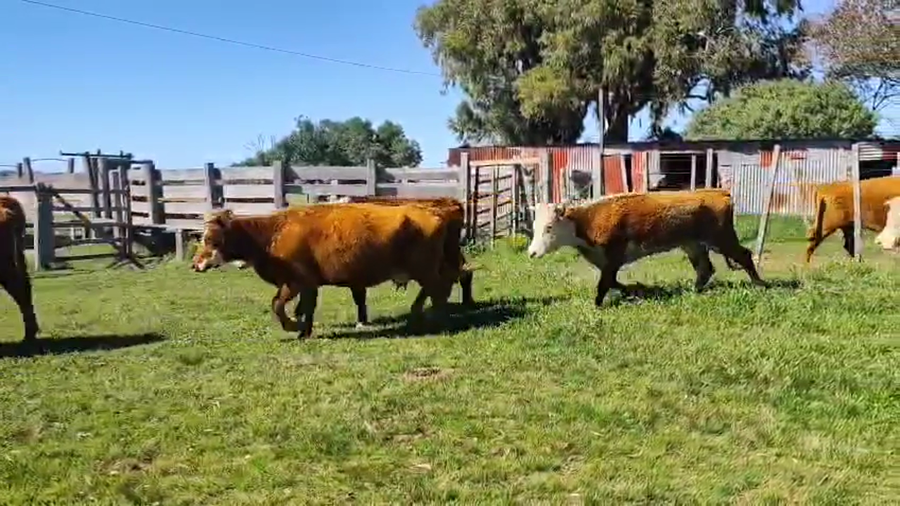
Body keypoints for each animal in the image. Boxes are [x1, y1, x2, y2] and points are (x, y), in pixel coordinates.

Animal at [191, 203, 457, 338]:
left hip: (425, 269)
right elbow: (306, 308)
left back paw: (437, 321)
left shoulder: (296, 281)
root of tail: (435, 212)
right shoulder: (309, 285)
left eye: (210, 239)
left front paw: (296, 328)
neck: (273, 233)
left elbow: (278, 305)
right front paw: (305, 331)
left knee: (438, 290)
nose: (194, 264)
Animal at [526, 188, 767, 307]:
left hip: (721, 239)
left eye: (549, 227)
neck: (588, 220)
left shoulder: (613, 256)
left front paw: (598, 304)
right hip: (693, 244)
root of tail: (719, 192)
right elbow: (613, 281)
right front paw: (636, 291)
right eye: (535, 226)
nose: (532, 252)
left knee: (744, 256)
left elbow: (605, 283)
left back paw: (760, 284)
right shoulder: (606, 261)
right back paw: (693, 290)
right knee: (705, 269)